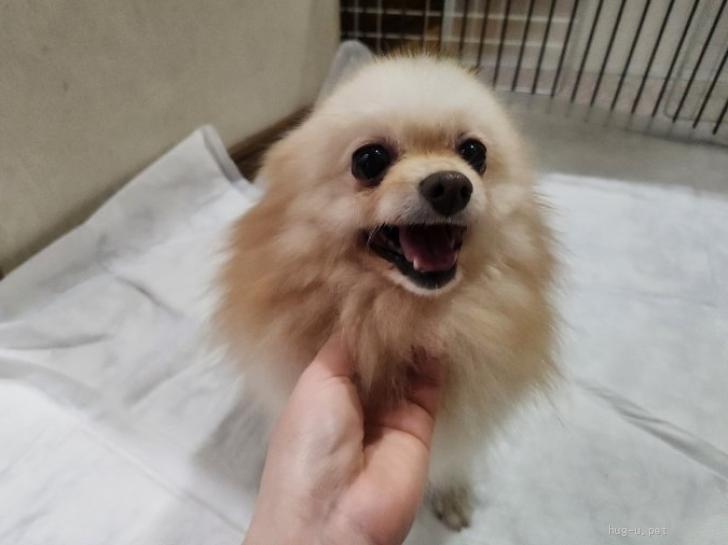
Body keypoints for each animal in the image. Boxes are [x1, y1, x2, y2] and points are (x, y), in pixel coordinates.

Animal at [216, 53, 556, 530]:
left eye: (474, 152)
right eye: (370, 160)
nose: (451, 185)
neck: (410, 313)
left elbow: (456, 459)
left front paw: (453, 494)